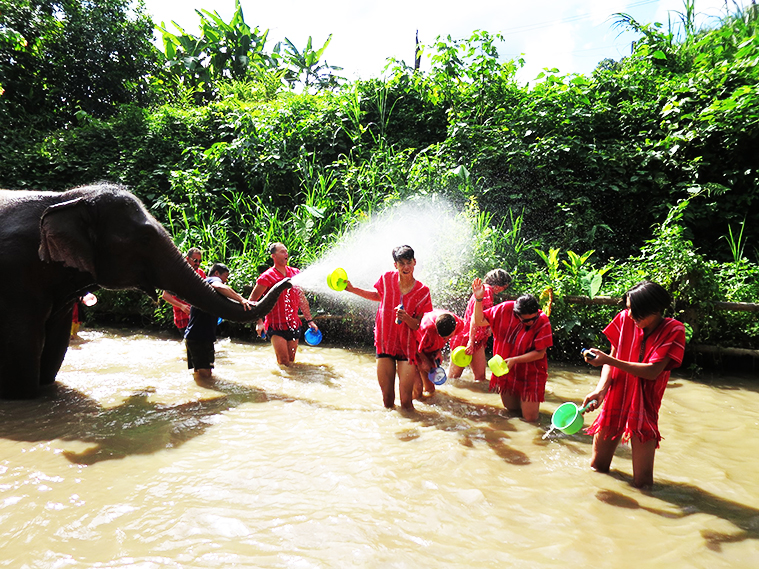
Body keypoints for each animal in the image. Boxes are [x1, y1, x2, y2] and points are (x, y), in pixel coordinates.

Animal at [0, 184, 292, 398]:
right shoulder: (14, 276)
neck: (65, 197)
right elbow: (21, 348)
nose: (289, 282)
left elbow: (56, 345)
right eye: (145, 238)